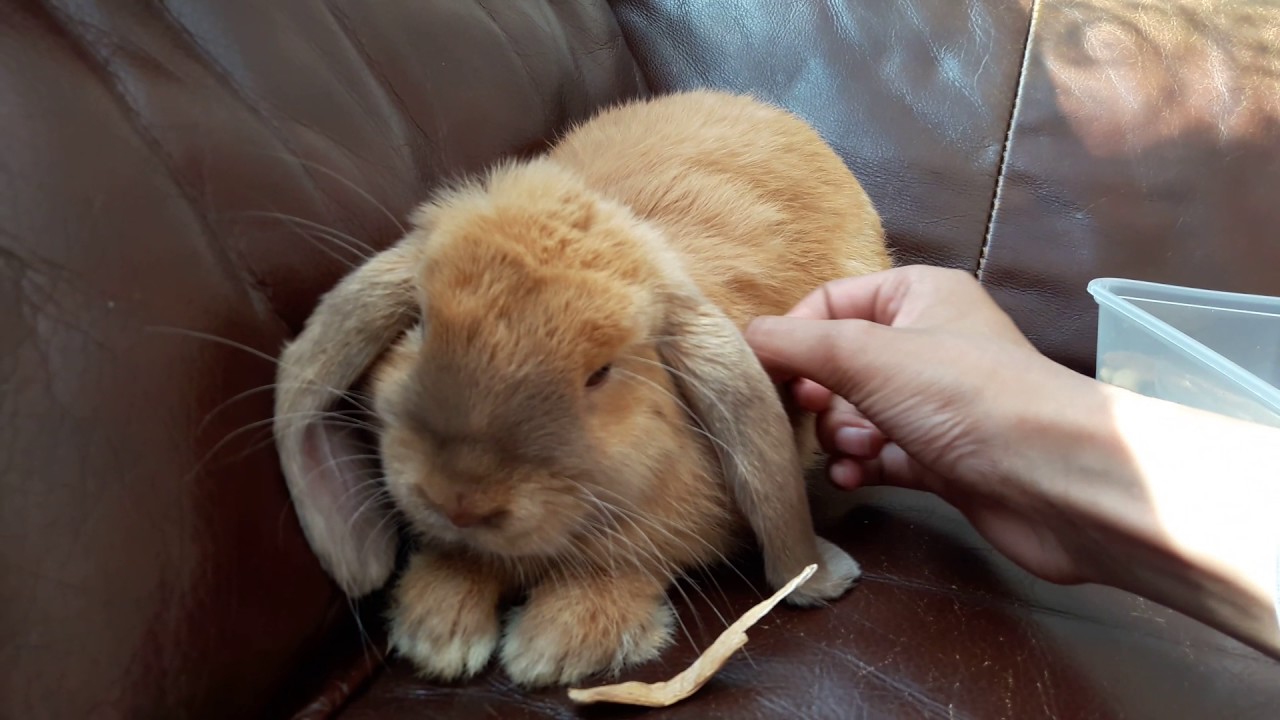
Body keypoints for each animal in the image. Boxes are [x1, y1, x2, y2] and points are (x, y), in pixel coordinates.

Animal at [272, 89, 893, 688]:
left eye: (600, 373)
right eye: (420, 325)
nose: (459, 500)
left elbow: (621, 570)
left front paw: (554, 647)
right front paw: (437, 630)